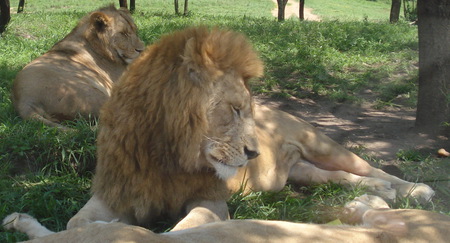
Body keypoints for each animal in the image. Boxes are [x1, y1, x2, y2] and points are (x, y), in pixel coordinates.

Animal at [60, 26, 436, 232]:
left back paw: (414, 190)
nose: (254, 153)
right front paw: (103, 227)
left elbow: (189, 226)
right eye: (235, 109)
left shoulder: (210, 199)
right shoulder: (115, 191)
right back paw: (382, 192)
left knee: (370, 167)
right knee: (343, 178)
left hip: (322, 144)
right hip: (301, 172)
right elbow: (74, 222)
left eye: (246, 110)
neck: (165, 154)